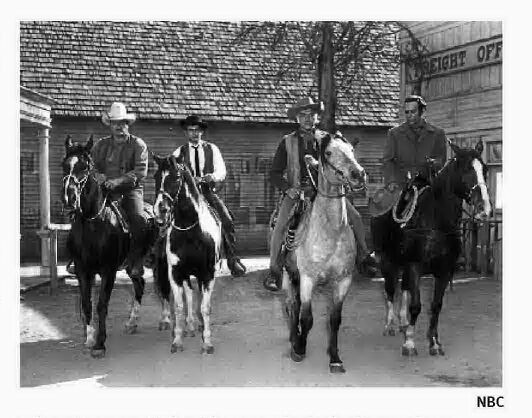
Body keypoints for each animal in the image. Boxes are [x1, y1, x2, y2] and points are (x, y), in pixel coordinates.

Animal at [61, 136, 158, 358]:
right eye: (64, 165)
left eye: (84, 167)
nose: (69, 198)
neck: (93, 224)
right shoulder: (83, 270)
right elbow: (86, 304)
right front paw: (89, 338)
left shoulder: (108, 271)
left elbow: (102, 305)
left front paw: (100, 344)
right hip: (132, 266)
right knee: (140, 284)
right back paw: (132, 323)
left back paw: (168, 320)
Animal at [152, 153, 222, 352]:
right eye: (156, 177)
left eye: (176, 177)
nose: (160, 209)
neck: (190, 231)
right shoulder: (175, 273)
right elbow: (178, 305)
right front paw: (177, 340)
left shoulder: (208, 273)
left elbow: (205, 307)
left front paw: (207, 342)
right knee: (183, 295)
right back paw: (185, 325)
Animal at [284, 132, 368, 374]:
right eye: (329, 152)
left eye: (352, 150)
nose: (358, 174)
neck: (331, 233)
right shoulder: (307, 279)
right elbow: (307, 318)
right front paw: (300, 349)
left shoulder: (342, 280)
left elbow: (334, 319)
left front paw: (335, 357)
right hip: (288, 277)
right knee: (291, 307)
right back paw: (294, 339)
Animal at [372, 140, 492, 356]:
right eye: (466, 170)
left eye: (484, 169)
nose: (484, 209)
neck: (436, 223)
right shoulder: (414, 267)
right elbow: (416, 306)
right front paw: (409, 343)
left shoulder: (444, 271)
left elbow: (435, 306)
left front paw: (434, 342)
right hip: (386, 262)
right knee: (390, 292)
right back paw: (390, 325)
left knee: (403, 290)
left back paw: (403, 324)